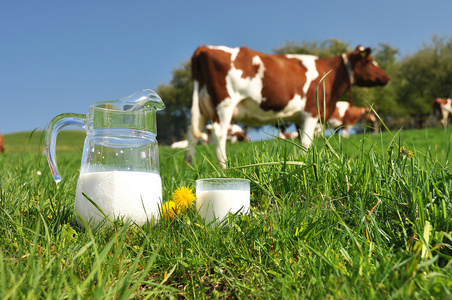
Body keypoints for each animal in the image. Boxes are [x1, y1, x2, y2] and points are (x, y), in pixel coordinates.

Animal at [186, 44, 388, 169]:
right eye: (369, 61)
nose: (387, 78)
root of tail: (204, 48)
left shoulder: (299, 118)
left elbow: (301, 141)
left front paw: (299, 161)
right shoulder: (311, 112)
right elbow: (306, 142)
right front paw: (306, 163)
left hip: (202, 107)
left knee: (192, 134)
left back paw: (190, 166)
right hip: (225, 104)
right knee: (219, 133)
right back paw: (224, 167)